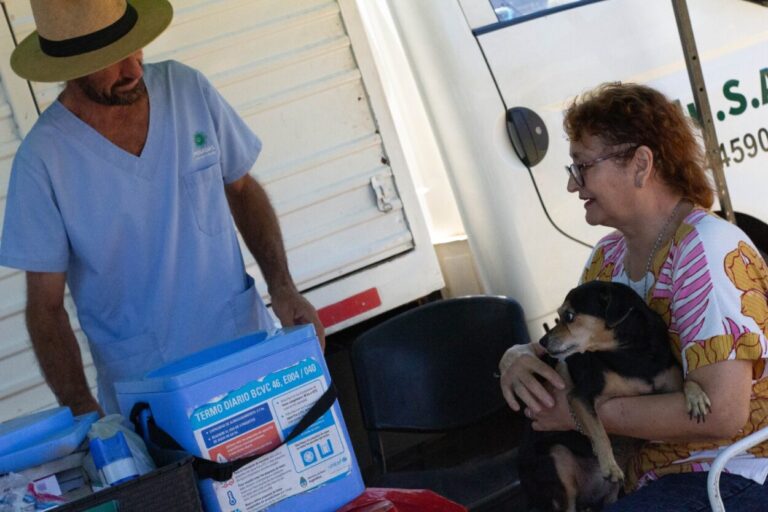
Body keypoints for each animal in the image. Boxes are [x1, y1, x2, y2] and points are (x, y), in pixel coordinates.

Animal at [520, 280, 712, 512]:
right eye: (558, 317)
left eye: (569, 316)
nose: (542, 341)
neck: (634, 354)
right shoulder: (581, 396)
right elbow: (598, 430)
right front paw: (609, 466)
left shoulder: (671, 382)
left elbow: (687, 381)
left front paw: (696, 396)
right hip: (558, 460)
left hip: (610, 494)